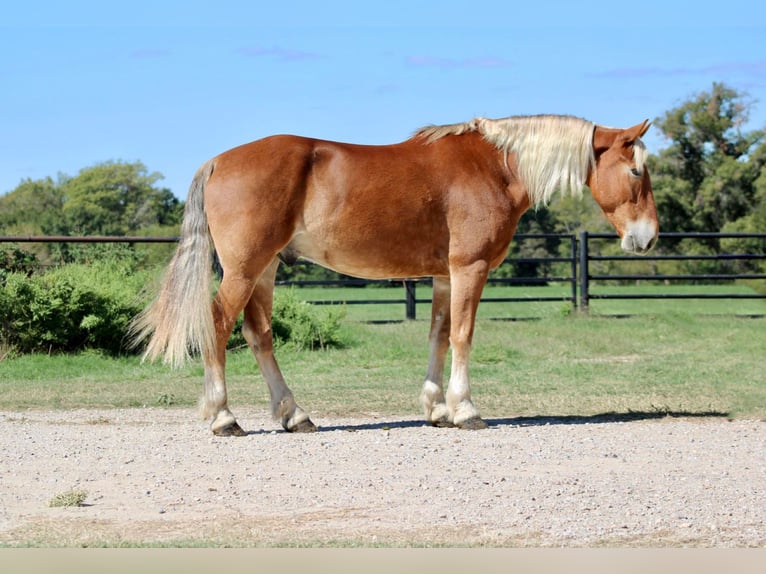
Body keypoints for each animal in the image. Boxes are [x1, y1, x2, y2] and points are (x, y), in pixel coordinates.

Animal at [132, 113, 660, 436]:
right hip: (244, 270)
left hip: (264, 270)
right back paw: (223, 417)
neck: (495, 166)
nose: (648, 237)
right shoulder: (469, 269)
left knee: (258, 335)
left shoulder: (445, 276)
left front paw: (438, 408)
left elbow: (440, 334)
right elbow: (464, 335)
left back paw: (295, 414)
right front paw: (466, 410)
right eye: (636, 172)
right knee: (219, 326)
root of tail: (218, 161)